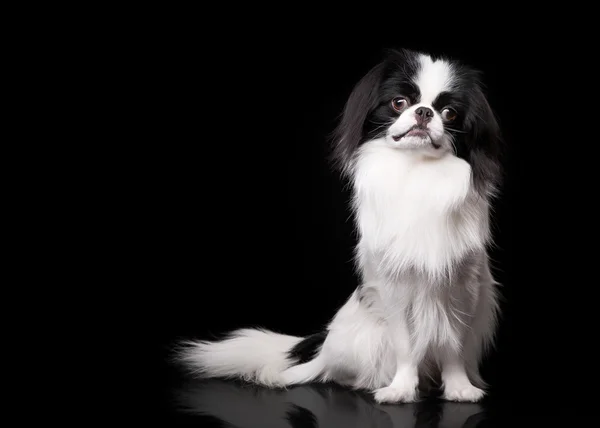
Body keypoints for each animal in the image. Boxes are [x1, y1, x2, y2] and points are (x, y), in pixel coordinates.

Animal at [177, 48, 502, 402]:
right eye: (399, 103)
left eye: (449, 113)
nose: (424, 112)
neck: (417, 172)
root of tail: (326, 345)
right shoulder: (394, 289)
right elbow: (405, 344)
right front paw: (400, 389)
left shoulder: (463, 289)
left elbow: (453, 343)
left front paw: (459, 388)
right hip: (361, 339)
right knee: (323, 370)